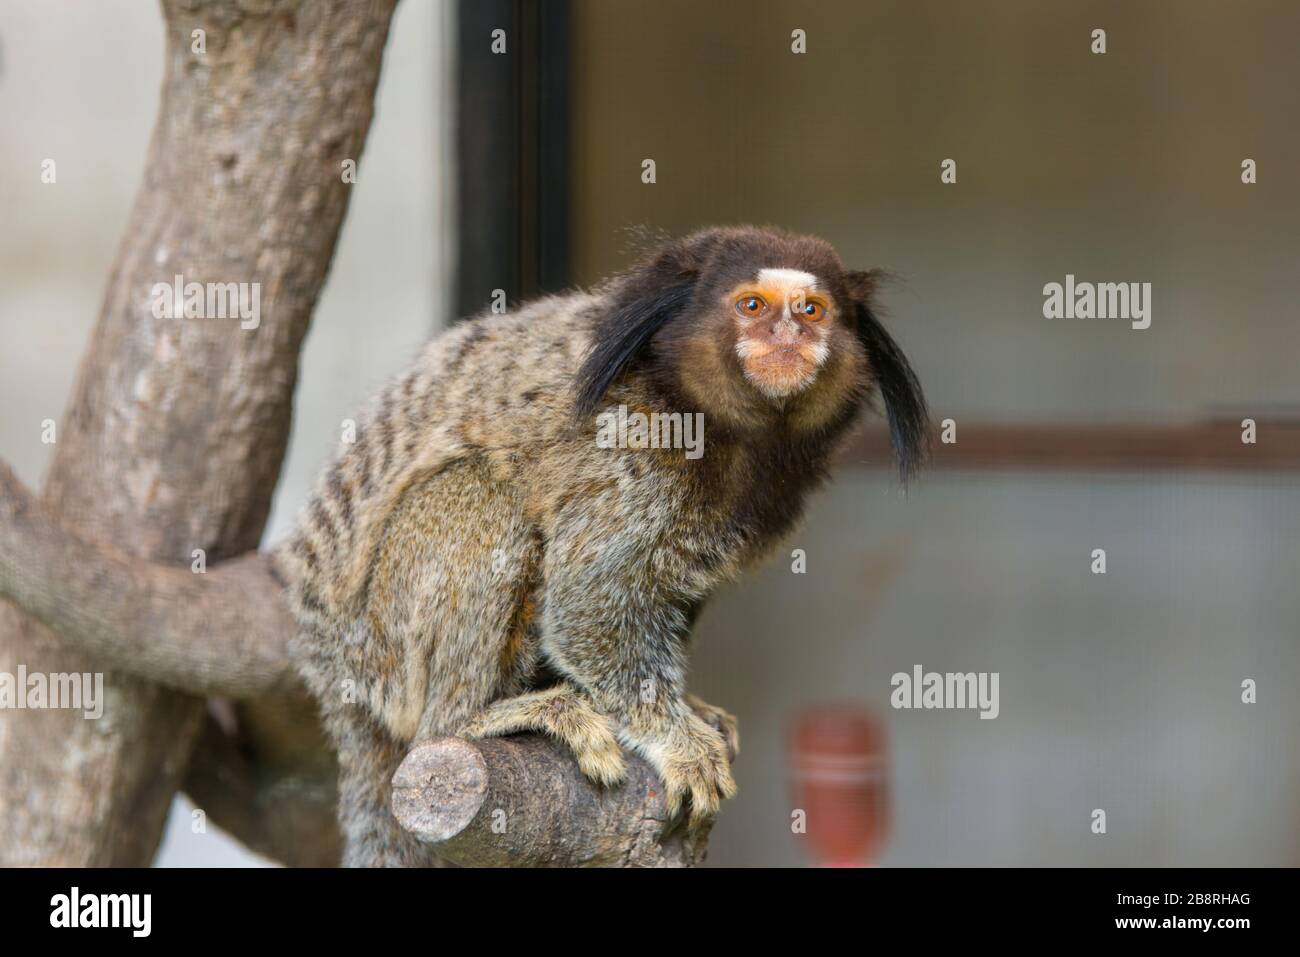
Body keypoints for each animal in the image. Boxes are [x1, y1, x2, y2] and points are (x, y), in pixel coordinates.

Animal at [276, 225, 929, 867]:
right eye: (752, 306)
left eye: (812, 310)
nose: (788, 335)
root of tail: (333, 683)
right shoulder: (636, 444)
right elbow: (588, 603)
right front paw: (675, 737)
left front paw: (690, 708)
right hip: (379, 650)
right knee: (483, 495)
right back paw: (479, 717)